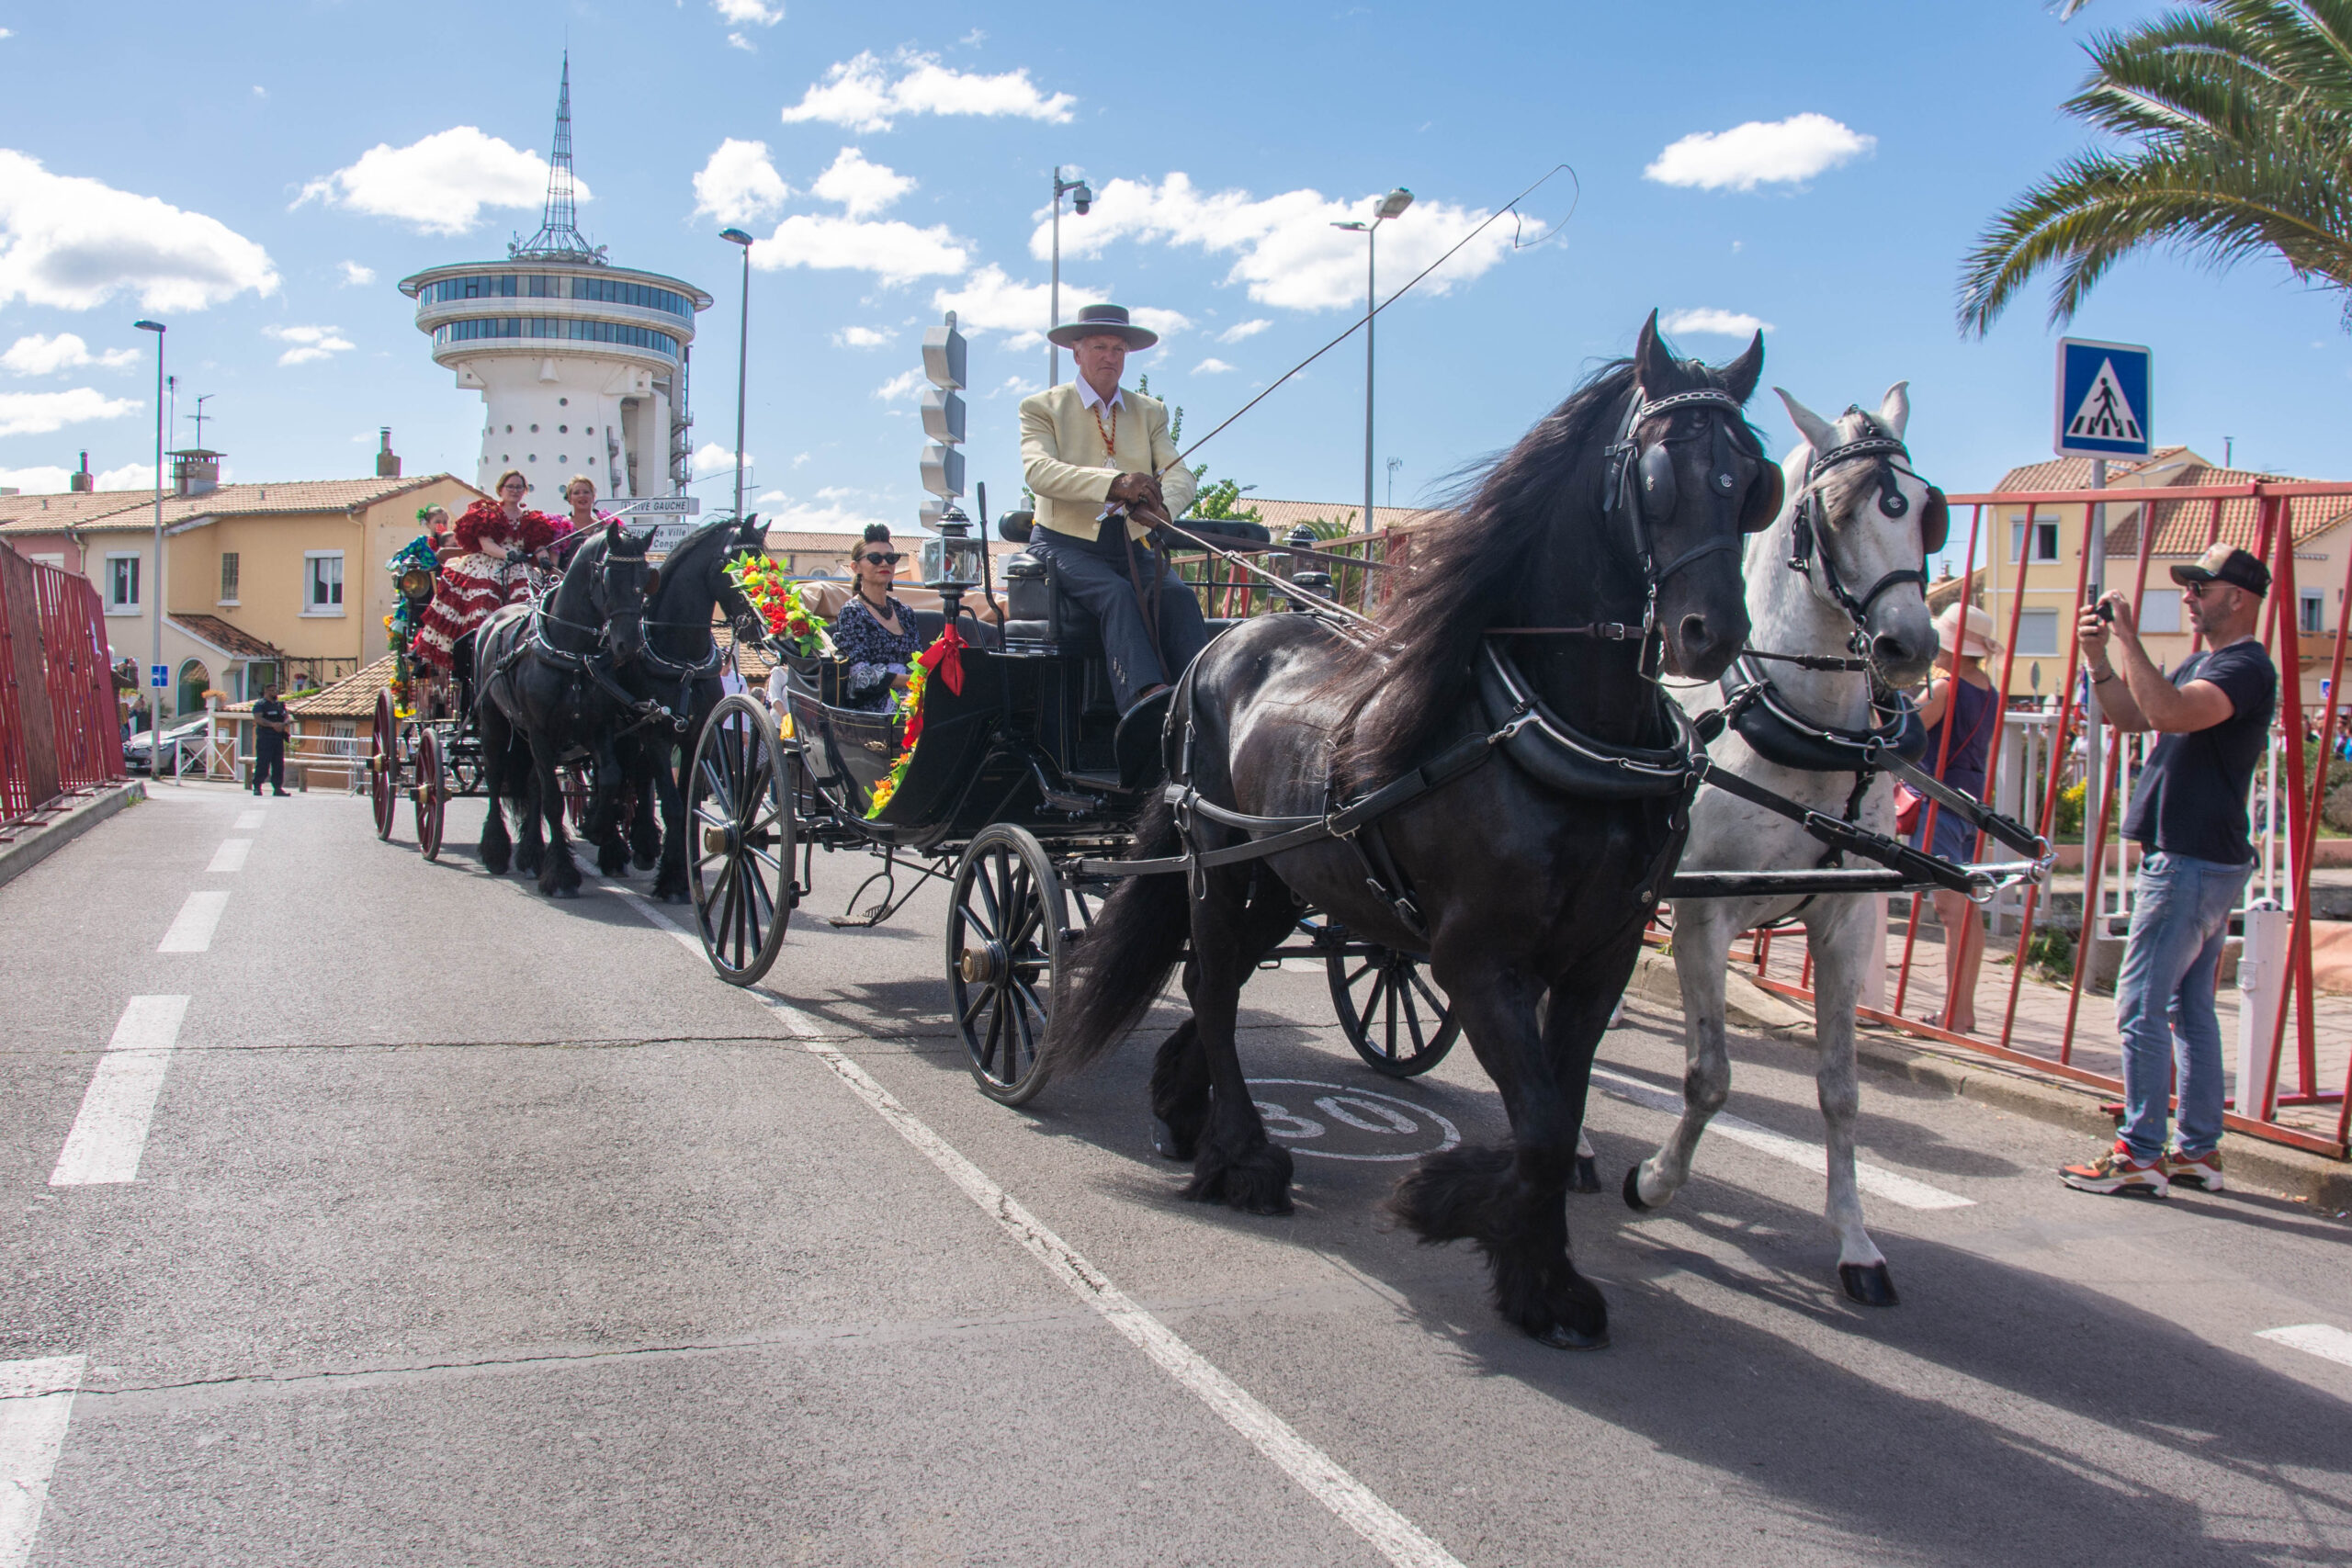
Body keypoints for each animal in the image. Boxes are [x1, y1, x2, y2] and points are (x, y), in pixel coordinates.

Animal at [474, 520, 655, 898]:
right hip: (494, 724)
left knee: (531, 784)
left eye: (645, 577)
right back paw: (496, 850)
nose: (628, 645)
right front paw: (560, 873)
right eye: (608, 575)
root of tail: (492, 620)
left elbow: (610, 777)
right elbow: (554, 801)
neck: (572, 653)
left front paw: (597, 828)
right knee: (496, 777)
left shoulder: (598, 728)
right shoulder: (542, 732)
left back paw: (530, 854)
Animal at [617, 514, 773, 904]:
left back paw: (644, 846)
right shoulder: (656, 733)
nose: (762, 629)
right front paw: (672, 879)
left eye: (768, 563)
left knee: (640, 777)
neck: (683, 659)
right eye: (735, 565)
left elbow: (687, 797)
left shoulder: (695, 735)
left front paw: (677, 873)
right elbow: (673, 804)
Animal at [1036, 314, 1779, 1351]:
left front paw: (1539, 1277)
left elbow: (1560, 1114)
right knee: (1213, 985)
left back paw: (1186, 1105)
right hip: (1216, 863)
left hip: (1287, 874)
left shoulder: (1605, 955)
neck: (1558, 727)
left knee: (1220, 977)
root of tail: (1209, 653)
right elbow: (1539, 1128)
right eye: (1658, 471)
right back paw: (1241, 1157)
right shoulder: (1478, 957)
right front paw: (1450, 1203)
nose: (1709, 634)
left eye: (1751, 480)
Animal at [1620, 382, 1943, 1306]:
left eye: (1925, 511)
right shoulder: (1704, 921)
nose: (1910, 643)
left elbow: (1841, 1090)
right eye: (1835, 510)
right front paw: (1655, 1179)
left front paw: (1858, 1242)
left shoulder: (1848, 925)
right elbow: (1709, 1075)